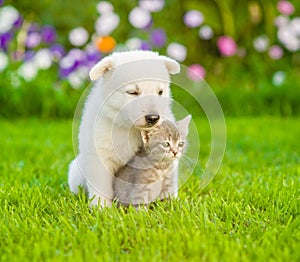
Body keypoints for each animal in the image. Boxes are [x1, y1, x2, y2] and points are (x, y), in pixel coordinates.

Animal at [68, 49, 180, 207]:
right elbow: (101, 189)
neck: (130, 128)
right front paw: (102, 209)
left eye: (160, 92)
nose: (153, 118)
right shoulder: (100, 157)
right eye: (133, 92)